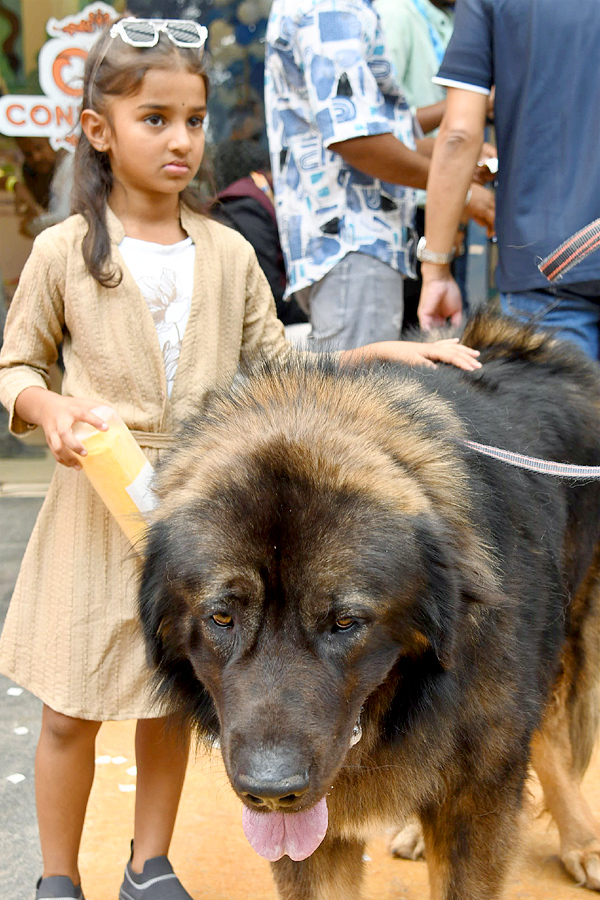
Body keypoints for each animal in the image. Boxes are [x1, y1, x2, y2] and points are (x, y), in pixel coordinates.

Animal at [138, 312, 600, 896]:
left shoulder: (478, 795)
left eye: (345, 622)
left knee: (552, 734)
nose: (272, 790)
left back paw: (582, 840)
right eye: (222, 617)